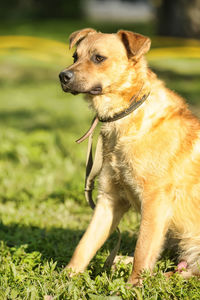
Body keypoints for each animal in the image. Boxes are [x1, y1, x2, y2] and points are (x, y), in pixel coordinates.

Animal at [58, 28, 200, 286]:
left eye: (99, 58)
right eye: (75, 56)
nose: (63, 76)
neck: (127, 114)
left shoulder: (155, 202)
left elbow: (143, 250)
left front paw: (133, 287)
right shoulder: (109, 199)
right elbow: (85, 245)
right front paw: (67, 277)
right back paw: (120, 262)